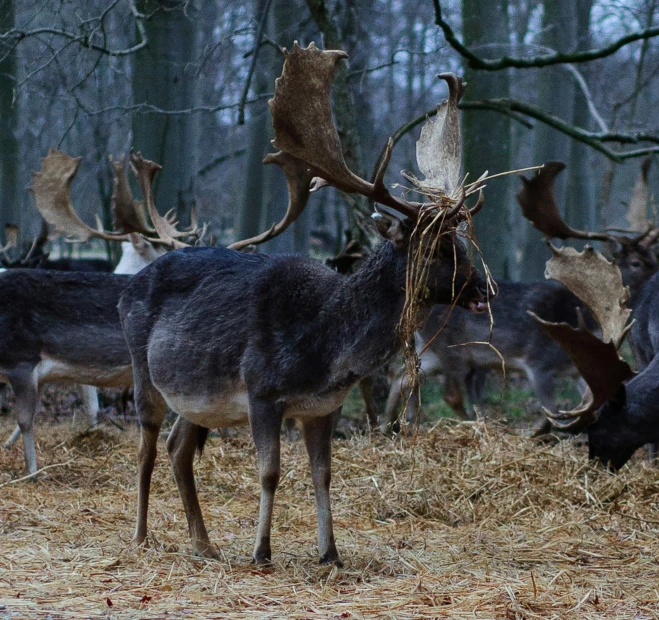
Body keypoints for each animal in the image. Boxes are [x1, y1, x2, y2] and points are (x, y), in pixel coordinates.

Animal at [117, 43, 490, 568]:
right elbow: (269, 472)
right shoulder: (261, 390)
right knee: (146, 448)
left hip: (196, 396)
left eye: (459, 241)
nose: (482, 290)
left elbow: (323, 474)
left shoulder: (323, 407)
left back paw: (203, 544)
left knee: (177, 448)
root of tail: (126, 289)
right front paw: (261, 551)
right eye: (433, 248)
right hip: (142, 369)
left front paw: (329, 553)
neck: (328, 349)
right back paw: (140, 536)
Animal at [382, 160, 659, 432]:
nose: (656, 273)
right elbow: (552, 411)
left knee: (402, 378)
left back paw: (390, 427)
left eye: (651, 256)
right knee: (448, 394)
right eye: (636, 263)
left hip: (430, 350)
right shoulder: (538, 363)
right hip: (452, 350)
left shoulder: (575, 371)